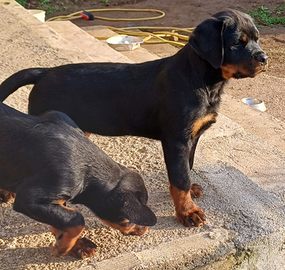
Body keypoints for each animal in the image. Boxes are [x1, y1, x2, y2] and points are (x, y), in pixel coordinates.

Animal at [0, 9, 266, 227]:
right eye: (237, 43)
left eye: (256, 38)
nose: (264, 58)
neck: (204, 81)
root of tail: (44, 73)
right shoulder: (176, 140)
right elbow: (179, 179)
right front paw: (187, 212)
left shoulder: (193, 137)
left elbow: (187, 168)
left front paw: (191, 190)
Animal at [0, 102, 155, 258]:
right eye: (129, 220)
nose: (146, 229)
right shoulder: (29, 199)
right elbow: (76, 218)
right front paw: (63, 248)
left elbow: (62, 218)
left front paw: (74, 245)